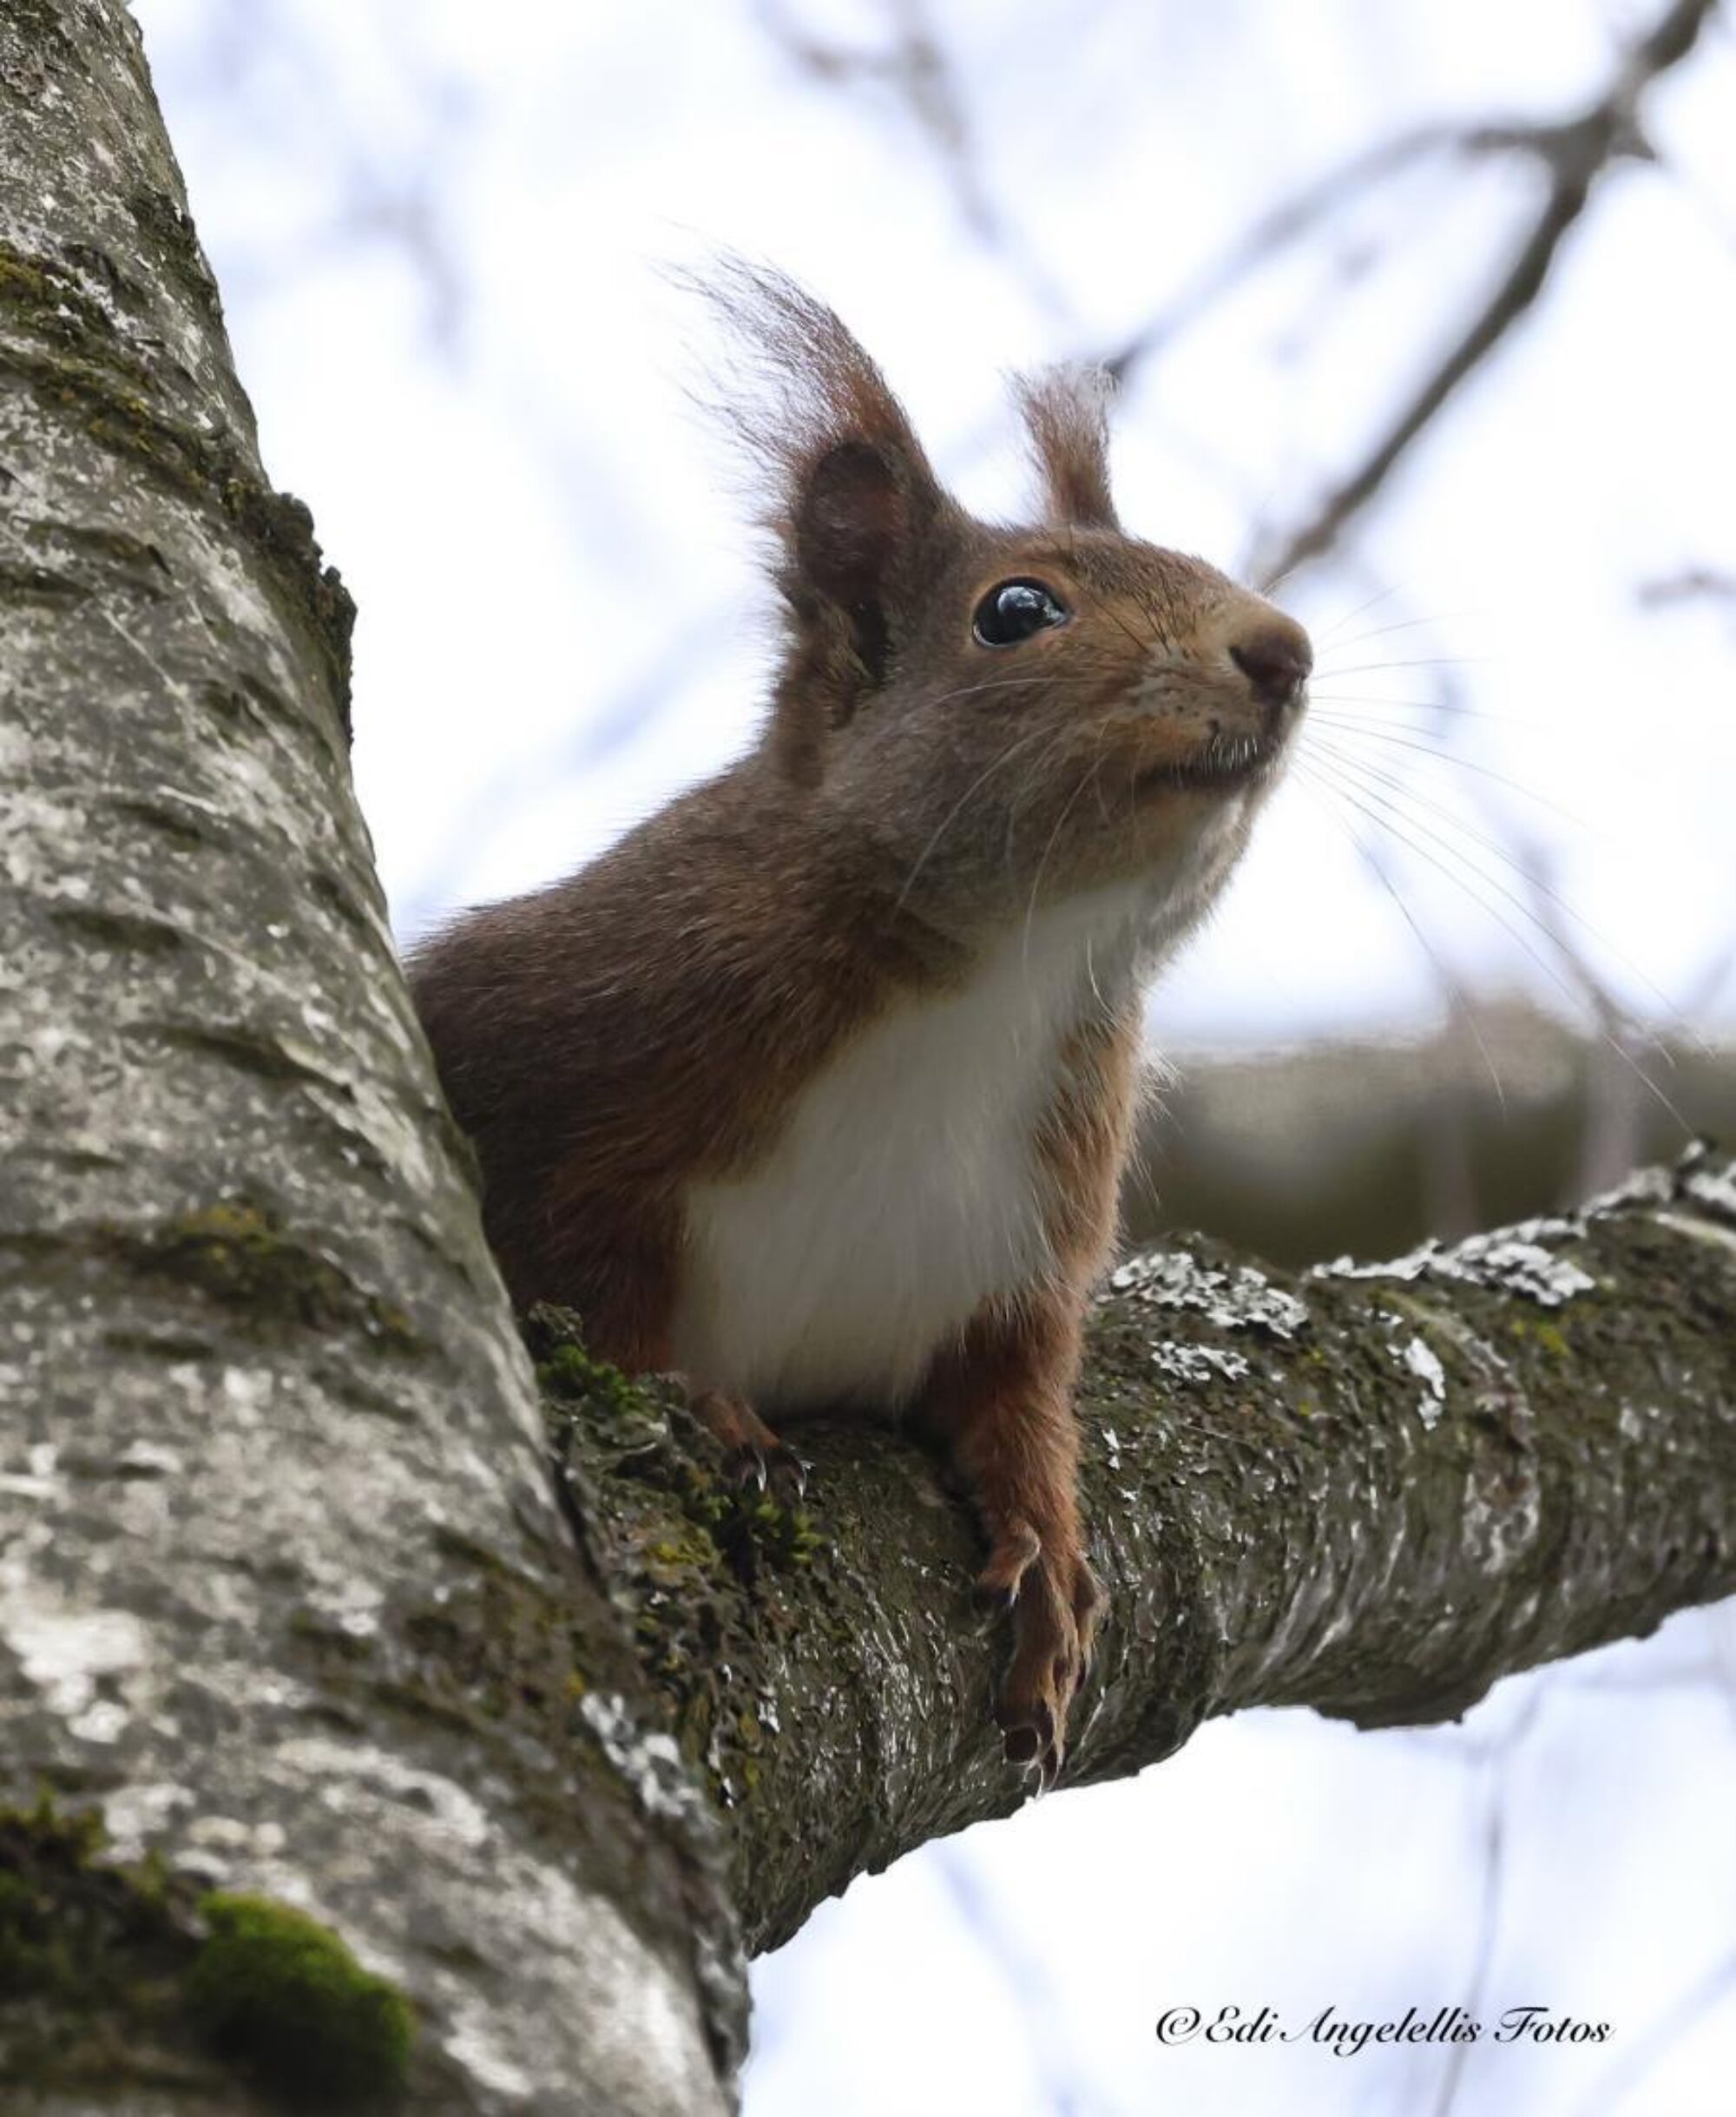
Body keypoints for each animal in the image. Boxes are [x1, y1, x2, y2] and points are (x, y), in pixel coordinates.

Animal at [404, 268, 1304, 1786]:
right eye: (1017, 609)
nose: (1284, 651)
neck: (1001, 972)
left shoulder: (1030, 1236)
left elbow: (1018, 1391)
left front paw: (1048, 1540)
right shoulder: (562, 1042)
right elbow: (578, 1288)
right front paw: (700, 1404)